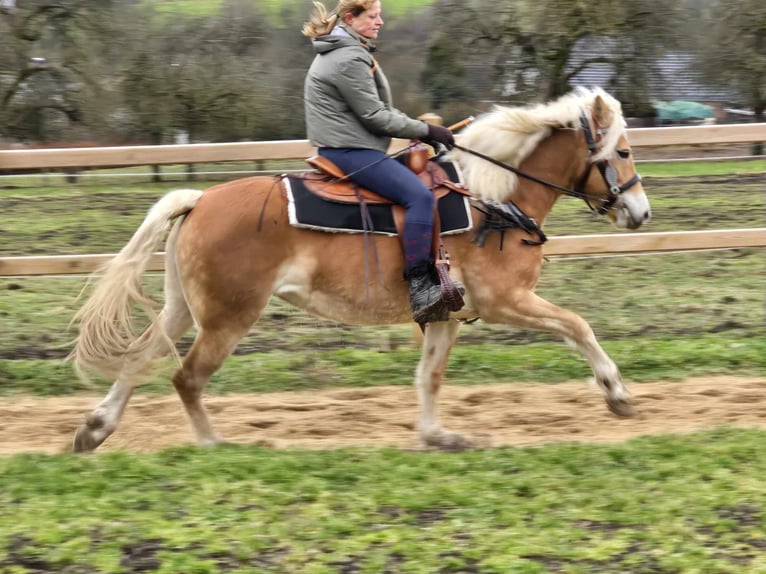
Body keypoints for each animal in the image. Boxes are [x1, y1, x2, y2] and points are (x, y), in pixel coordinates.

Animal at [69, 86, 652, 454]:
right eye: (623, 151)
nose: (641, 213)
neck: (491, 198)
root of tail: (200, 200)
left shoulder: (446, 315)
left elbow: (429, 376)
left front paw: (438, 437)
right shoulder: (504, 301)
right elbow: (577, 326)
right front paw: (617, 394)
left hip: (183, 309)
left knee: (139, 359)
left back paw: (95, 430)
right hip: (227, 319)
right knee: (185, 378)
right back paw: (215, 446)